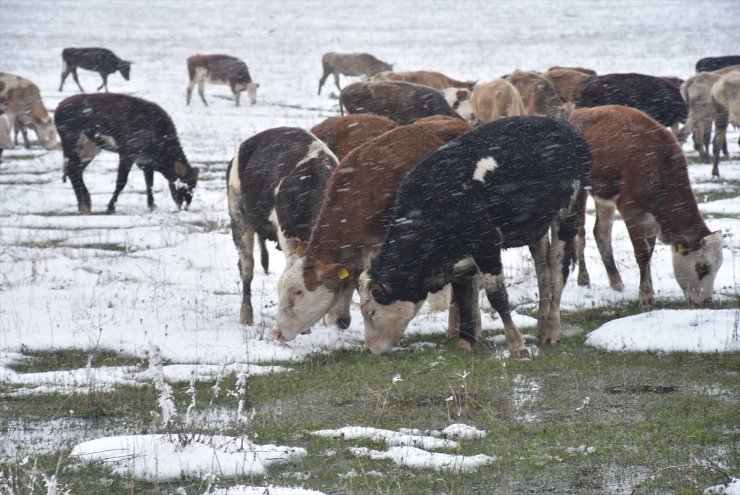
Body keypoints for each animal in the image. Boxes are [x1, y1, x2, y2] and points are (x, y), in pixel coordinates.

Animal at [53, 94, 198, 214]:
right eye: (183, 184)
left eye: (194, 186)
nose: (185, 207)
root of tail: (60, 106)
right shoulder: (126, 154)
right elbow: (121, 181)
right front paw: (111, 207)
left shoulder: (145, 161)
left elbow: (149, 183)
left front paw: (152, 206)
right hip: (71, 143)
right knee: (73, 170)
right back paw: (84, 206)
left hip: (90, 148)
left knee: (76, 170)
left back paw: (84, 204)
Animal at [356, 116, 588, 354]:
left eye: (371, 312)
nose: (369, 349)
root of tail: (562, 124)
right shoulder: (457, 258)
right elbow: (462, 295)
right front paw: (466, 341)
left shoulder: (487, 245)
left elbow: (497, 297)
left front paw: (516, 345)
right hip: (536, 227)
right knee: (543, 272)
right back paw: (542, 326)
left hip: (570, 210)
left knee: (559, 270)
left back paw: (552, 330)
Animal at [572, 105, 724, 306]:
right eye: (701, 267)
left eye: (718, 266)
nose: (707, 301)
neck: (660, 163)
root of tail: (580, 112)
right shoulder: (631, 210)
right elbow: (642, 252)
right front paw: (645, 296)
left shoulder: (653, 217)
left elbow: (649, 250)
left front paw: (649, 289)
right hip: (580, 193)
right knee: (580, 234)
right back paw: (583, 279)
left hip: (603, 198)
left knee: (602, 233)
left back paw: (616, 282)